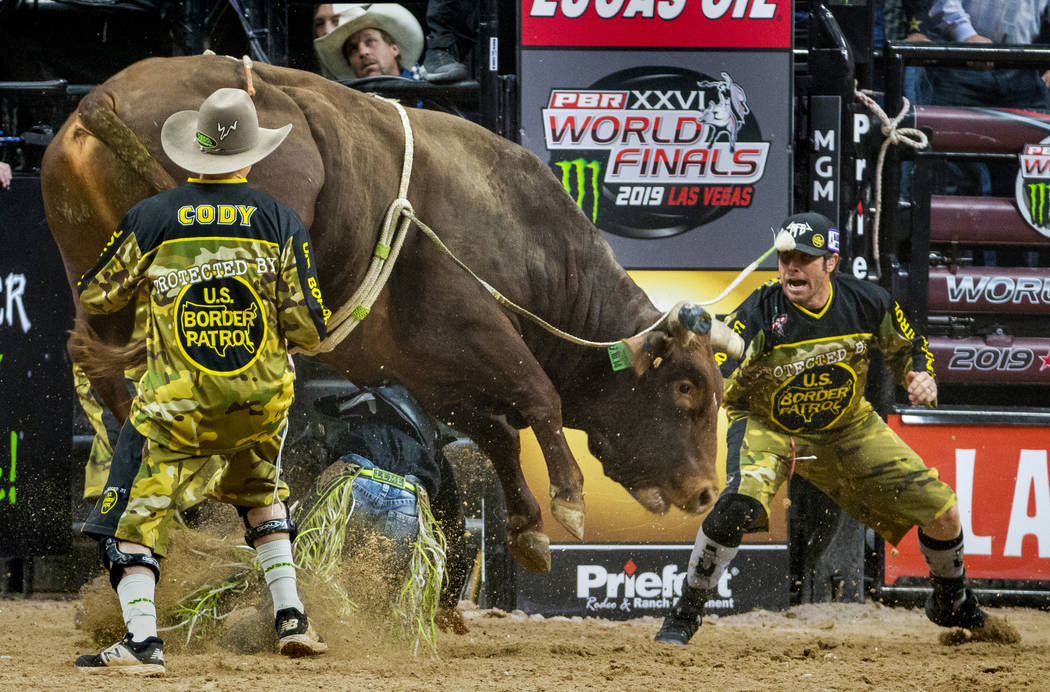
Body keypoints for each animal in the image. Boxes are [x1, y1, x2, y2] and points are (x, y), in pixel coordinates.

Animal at [40, 54, 743, 575]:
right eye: (686, 388)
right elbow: (539, 396)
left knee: (102, 367)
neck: (526, 239)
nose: (707, 493)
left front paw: (527, 530)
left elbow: (498, 433)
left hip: (101, 282)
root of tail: (100, 99)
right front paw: (568, 501)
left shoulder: (428, 368)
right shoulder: (473, 324)